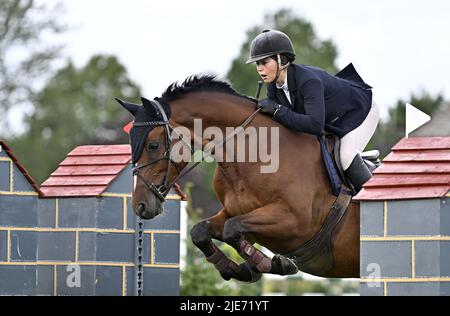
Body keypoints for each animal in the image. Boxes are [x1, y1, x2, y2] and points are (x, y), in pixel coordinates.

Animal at [118, 76, 360, 282]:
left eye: (153, 145)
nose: (140, 205)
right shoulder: (232, 211)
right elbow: (201, 231)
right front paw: (235, 269)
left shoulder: (295, 221)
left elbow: (232, 229)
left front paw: (273, 264)